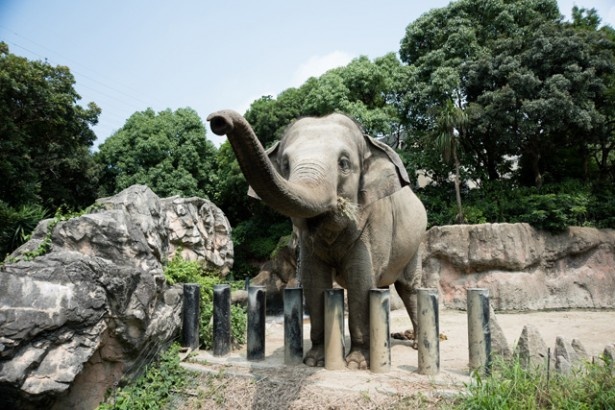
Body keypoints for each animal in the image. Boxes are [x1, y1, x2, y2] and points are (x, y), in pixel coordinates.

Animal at [208, 109, 428, 368]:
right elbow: (315, 281)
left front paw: (356, 363)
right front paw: (313, 361)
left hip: (416, 245)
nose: (217, 120)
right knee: (383, 286)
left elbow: (360, 280)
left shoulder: (374, 221)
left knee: (408, 288)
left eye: (344, 163)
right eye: (285, 164)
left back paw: (414, 344)